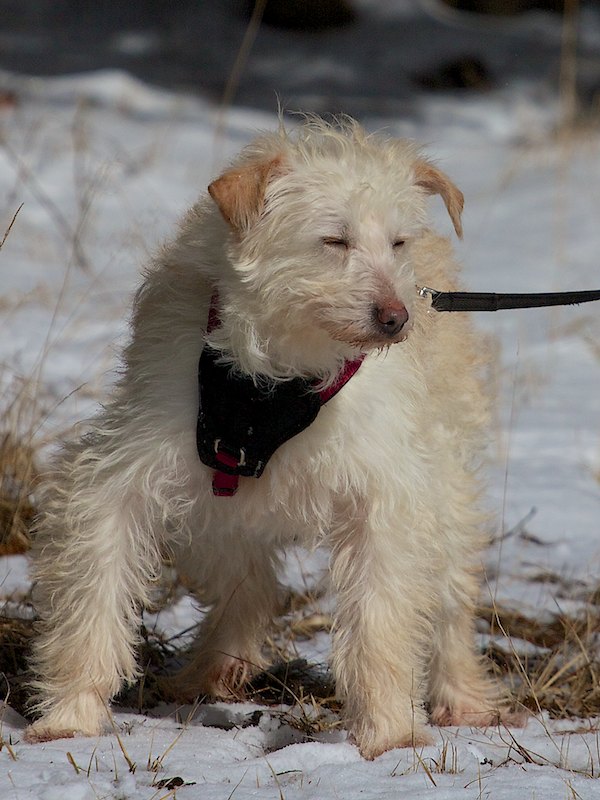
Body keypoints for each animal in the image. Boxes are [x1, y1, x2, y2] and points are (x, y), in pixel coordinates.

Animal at [26, 117, 510, 758]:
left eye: (397, 243)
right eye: (334, 240)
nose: (396, 318)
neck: (277, 379)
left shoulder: (386, 495)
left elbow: (382, 620)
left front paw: (390, 733)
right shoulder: (121, 469)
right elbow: (93, 599)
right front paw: (70, 717)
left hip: (443, 483)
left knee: (451, 601)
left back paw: (462, 697)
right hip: (216, 511)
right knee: (247, 585)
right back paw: (211, 668)